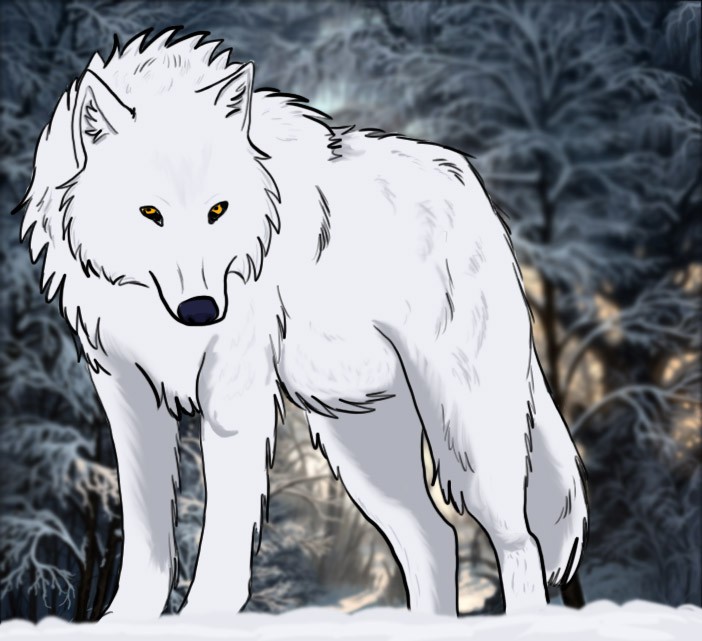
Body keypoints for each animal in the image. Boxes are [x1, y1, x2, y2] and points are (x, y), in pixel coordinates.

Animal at [15, 28, 588, 619]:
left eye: (218, 210)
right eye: (150, 213)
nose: (202, 310)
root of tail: (473, 184)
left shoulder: (234, 395)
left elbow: (224, 534)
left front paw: (203, 619)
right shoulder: (125, 393)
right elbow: (146, 532)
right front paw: (125, 620)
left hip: (466, 435)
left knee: (519, 541)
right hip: (360, 442)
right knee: (435, 536)